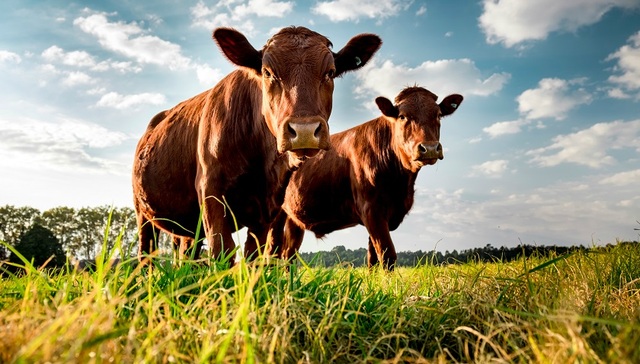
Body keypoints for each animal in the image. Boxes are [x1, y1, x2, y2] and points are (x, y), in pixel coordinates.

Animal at [131, 26, 380, 264]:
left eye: (330, 73)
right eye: (268, 72)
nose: (304, 131)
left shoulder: (267, 207)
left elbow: (253, 255)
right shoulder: (210, 190)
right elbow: (222, 249)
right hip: (143, 211)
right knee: (147, 253)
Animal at [268, 86, 462, 270]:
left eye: (438, 115)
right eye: (402, 116)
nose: (429, 148)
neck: (400, 184)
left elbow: (373, 259)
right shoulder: (371, 209)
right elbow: (387, 255)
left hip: (294, 218)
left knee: (288, 254)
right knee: (272, 251)